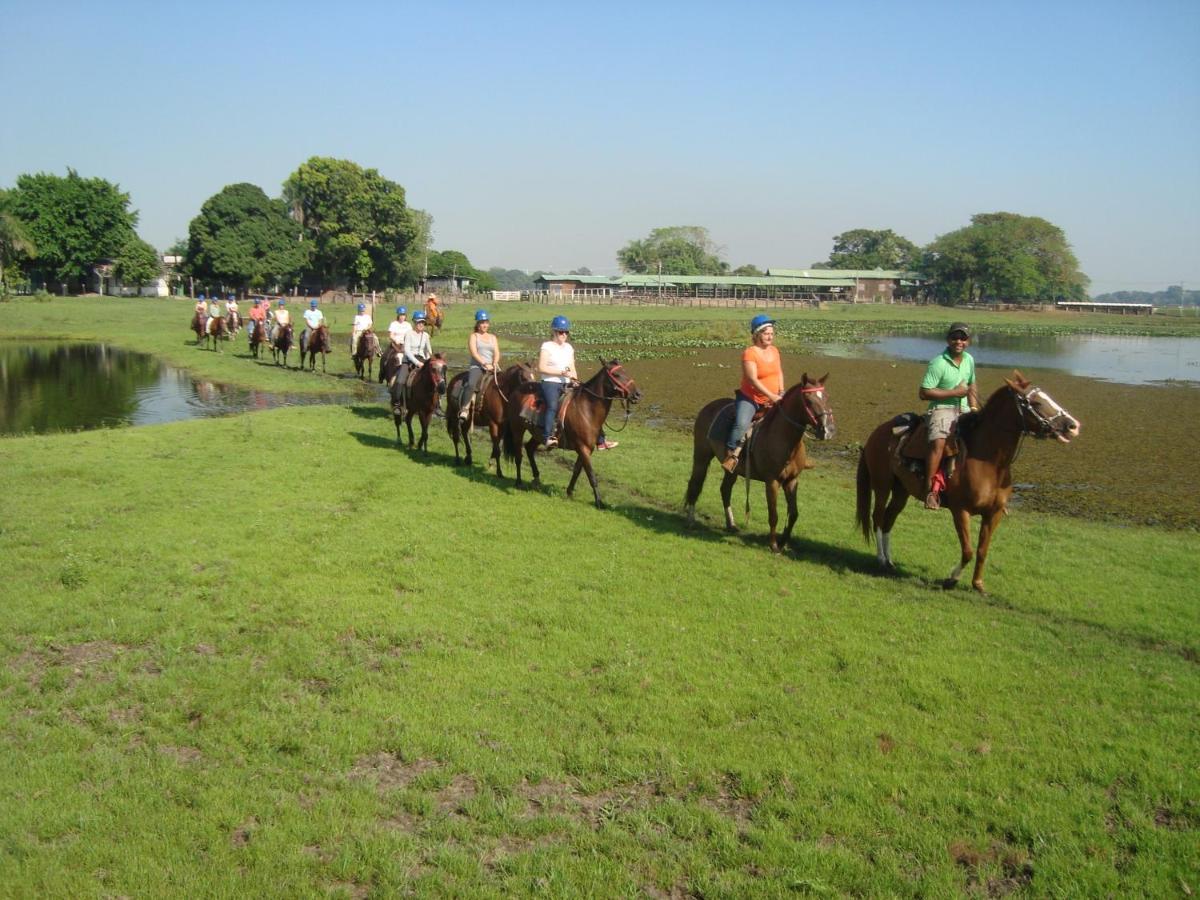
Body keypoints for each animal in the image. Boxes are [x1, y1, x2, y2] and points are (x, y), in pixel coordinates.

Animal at [501, 362, 643, 511]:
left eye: (625, 371)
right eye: (616, 374)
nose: (637, 394)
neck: (586, 409)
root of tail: (516, 390)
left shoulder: (586, 449)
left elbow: (577, 471)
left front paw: (569, 492)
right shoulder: (583, 448)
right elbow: (591, 475)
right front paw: (599, 502)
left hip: (538, 434)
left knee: (529, 448)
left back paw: (536, 478)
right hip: (517, 430)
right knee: (518, 455)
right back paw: (519, 482)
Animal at [686, 374, 835, 556]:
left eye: (826, 396)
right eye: (808, 400)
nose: (828, 430)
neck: (784, 439)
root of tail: (708, 406)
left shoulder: (792, 481)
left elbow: (793, 514)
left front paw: (783, 542)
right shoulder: (772, 482)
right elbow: (774, 515)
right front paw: (773, 545)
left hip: (732, 470)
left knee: (725, 490)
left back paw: (731, 524)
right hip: (702, 456)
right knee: (695, 484)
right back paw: (691, 520)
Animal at [859, 369, 1084, 595]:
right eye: (1035, 403)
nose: (1073, 426)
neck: (990, 463)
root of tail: (878, 432)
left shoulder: (993, 514)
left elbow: (982, 550)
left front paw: (978, 585)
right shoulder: (961, 511)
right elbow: (967, 551)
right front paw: (951, 579)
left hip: (901, 490)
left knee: (889, 518)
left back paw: (890, 561)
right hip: (882, 484)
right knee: (877, 516)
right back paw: (881, 559)